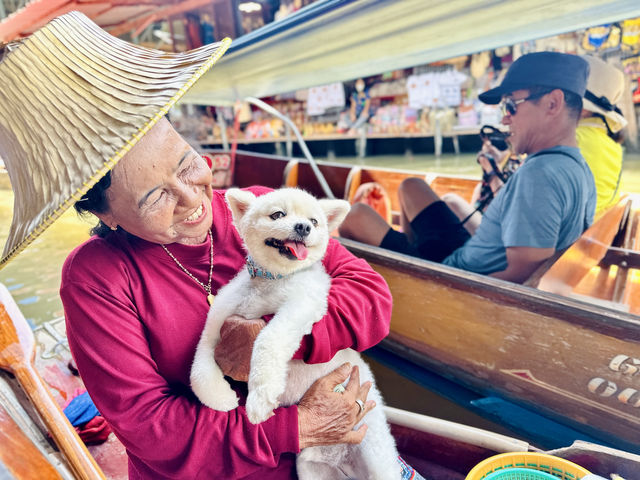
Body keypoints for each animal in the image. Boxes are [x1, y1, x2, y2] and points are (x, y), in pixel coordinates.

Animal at [189, 188, 400, 480]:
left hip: (376, 456)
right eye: (278, 214)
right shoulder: (217, 320)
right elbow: (199, 367)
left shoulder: (302, 304)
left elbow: (268, 339)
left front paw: (261, 397)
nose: (303, 227)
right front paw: (219, 397)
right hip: (311, 468)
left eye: (314, 221)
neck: (272, 279)